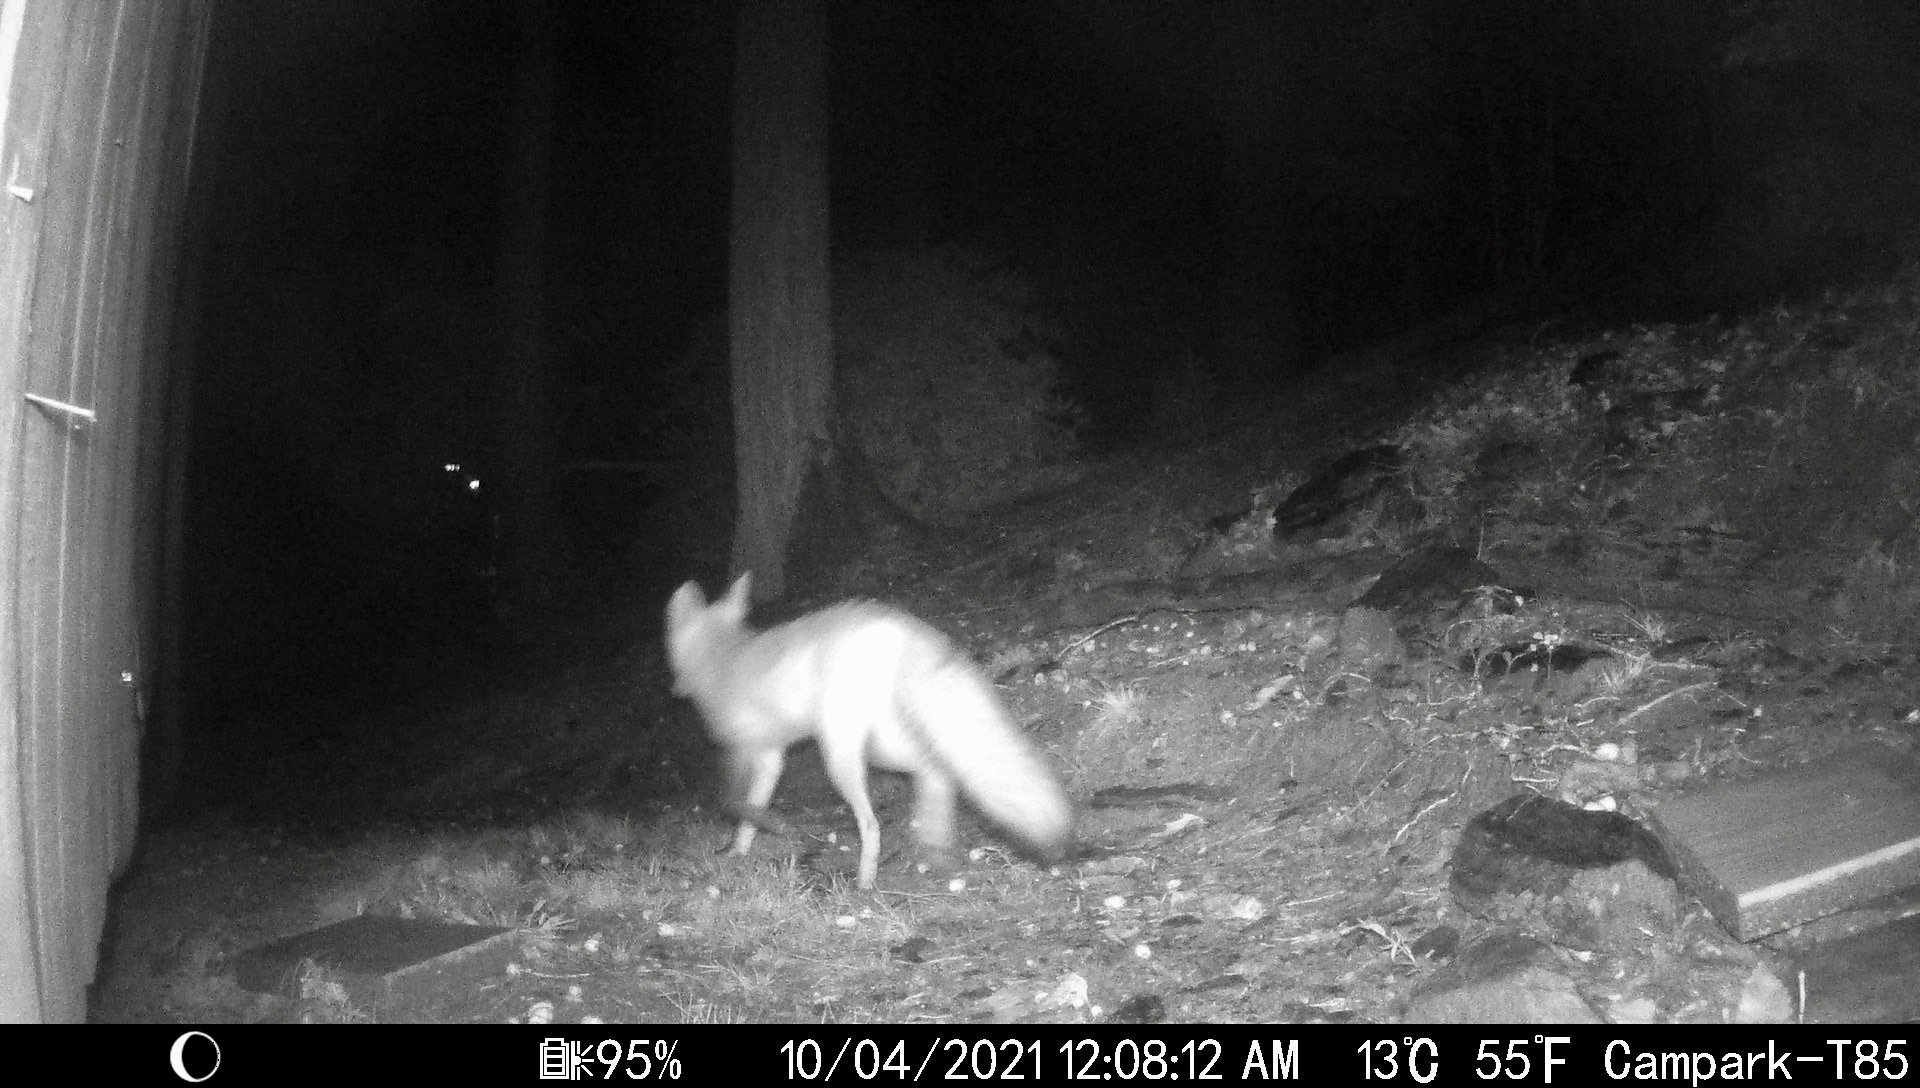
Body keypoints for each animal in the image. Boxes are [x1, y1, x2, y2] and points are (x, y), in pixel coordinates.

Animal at [664, 573, 1073, 889]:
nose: (676, 692)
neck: (721, 656)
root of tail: (894, 624)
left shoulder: (742, 749)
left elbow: (731, 803)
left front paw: (767, 829)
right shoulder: (769, 757)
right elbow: (750, 813)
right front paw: (741, 849)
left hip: (840, 755)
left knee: (872, 823)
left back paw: (865, 882)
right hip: (883, 746)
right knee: (937, 770)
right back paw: (935, 849)